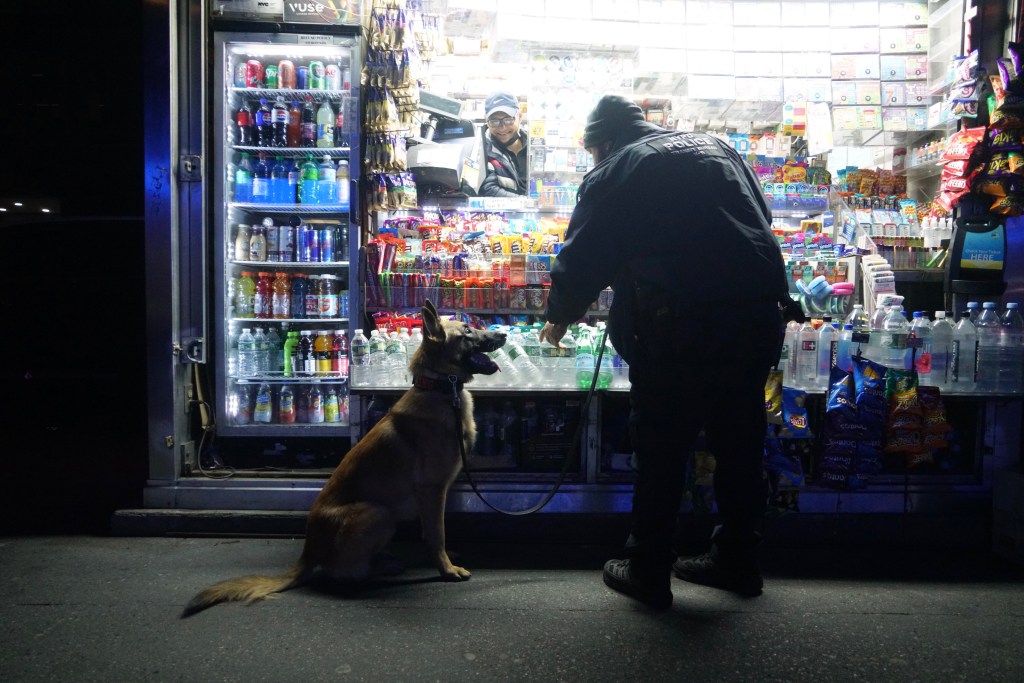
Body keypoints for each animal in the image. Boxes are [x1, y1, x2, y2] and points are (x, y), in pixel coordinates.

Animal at [183, 301, 507, 618]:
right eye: (467, 331)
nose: (503, 334)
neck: (441, 388)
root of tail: (309, 551)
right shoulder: (432, 489)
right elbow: (437, 533)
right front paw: (446, 569)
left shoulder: (434, 493)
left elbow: (433, 531)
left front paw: (445, 558)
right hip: (378, 513)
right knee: (345, 572)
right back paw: (382, 567)